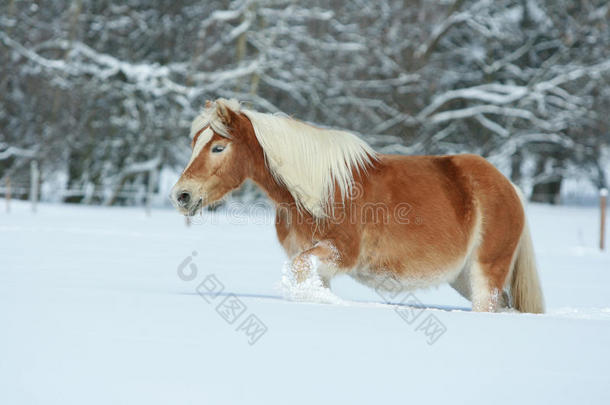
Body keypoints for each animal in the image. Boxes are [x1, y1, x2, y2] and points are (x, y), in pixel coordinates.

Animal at [170, 98, 540, 312]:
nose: (181, 195)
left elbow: (300, 269)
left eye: (218, 147)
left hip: (485, 274)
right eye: (195, 143)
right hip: (462, 278)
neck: (319, 192)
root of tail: (508, 187)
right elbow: (305, 275)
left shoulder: (341, 252)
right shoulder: (317, 259)